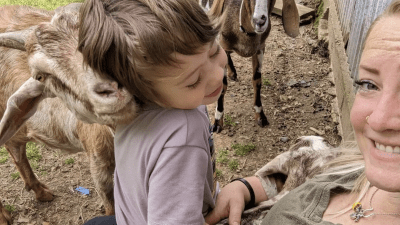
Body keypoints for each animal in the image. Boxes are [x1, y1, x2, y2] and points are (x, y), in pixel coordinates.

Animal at [0, 3, 138, 223]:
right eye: (41, 76)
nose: (111, 91)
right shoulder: (100, 167)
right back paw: (4, 216)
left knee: (15, 148)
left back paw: (41, 192)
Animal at [208, 0, 298, 132]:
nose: (259, 21)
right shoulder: (222, 44)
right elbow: (222, 85)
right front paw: (218, 121)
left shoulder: (260, 49)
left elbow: (257, 81)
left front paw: (260, 115)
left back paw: (232, 72)